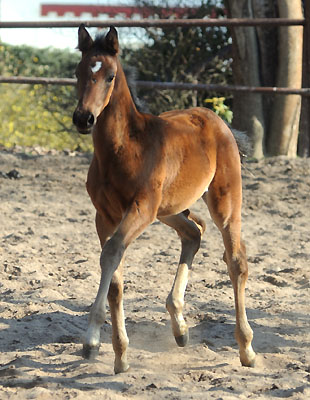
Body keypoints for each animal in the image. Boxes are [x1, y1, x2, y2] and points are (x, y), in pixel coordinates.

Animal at [73, 25, 256, 376]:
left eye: (110, 76)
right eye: (78, 72)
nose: (83, 118)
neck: (124, 149)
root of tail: (217, 119)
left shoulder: (140, 209)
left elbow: (112, 253)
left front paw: (92, 341)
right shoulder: (104, 215)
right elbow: (114, 274)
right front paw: (120, 355)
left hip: (222, 202)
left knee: (236, 259)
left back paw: (247, 349)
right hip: (169, 208)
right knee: (194, 233)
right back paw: (180, 327)